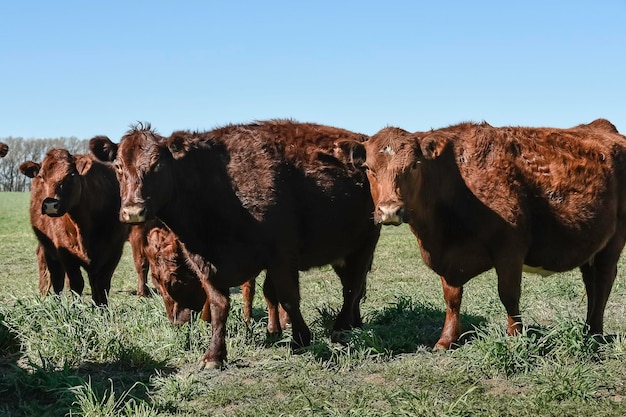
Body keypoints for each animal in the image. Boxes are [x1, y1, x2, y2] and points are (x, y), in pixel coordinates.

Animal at [19, 147, 149, 306]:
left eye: (70, 175)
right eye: (41, 176)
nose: (50, 204)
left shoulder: (114, 249)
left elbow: (102, 283)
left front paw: (101, 308)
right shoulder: (64, 250)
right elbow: (76, 283)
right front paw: (76, 307)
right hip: (48, 246)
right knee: (56, 275)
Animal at [89, 119, 378, 368]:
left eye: (157, 165)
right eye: (118, 167)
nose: (133, 211)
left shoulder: (281, 256)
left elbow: (288, 298)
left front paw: (300, 339)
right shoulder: (205, 262)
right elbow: (220, 306)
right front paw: (214, 356)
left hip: (364, 244)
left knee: (352, 286)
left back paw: (341, 328)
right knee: (353, 286)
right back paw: (354, 323)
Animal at [360, 118, 624, 350]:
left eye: (415, 165)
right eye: (368, 168)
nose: (390, 210)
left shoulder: (510, 250)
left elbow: (509, 295)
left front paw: (515, 337)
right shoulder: (448, 261)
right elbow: (452, 299)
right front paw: (446, 340)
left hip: (614, 241)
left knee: (603, 281)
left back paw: (594, 333)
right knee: (591, 282)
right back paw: (589, 329)